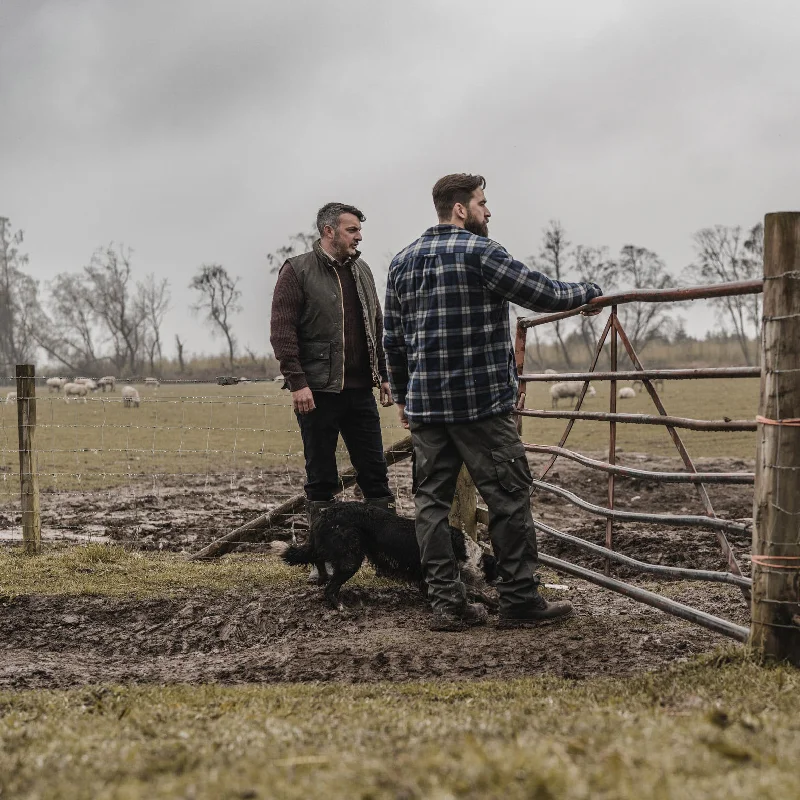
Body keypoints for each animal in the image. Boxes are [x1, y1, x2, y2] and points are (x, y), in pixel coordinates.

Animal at [276, 504, 500, 608]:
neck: (466, 551)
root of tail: (324, 514)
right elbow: (475, 591)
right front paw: (493, 604)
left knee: (320, 565)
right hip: (351, 560)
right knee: (330, 589)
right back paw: (340, 607)